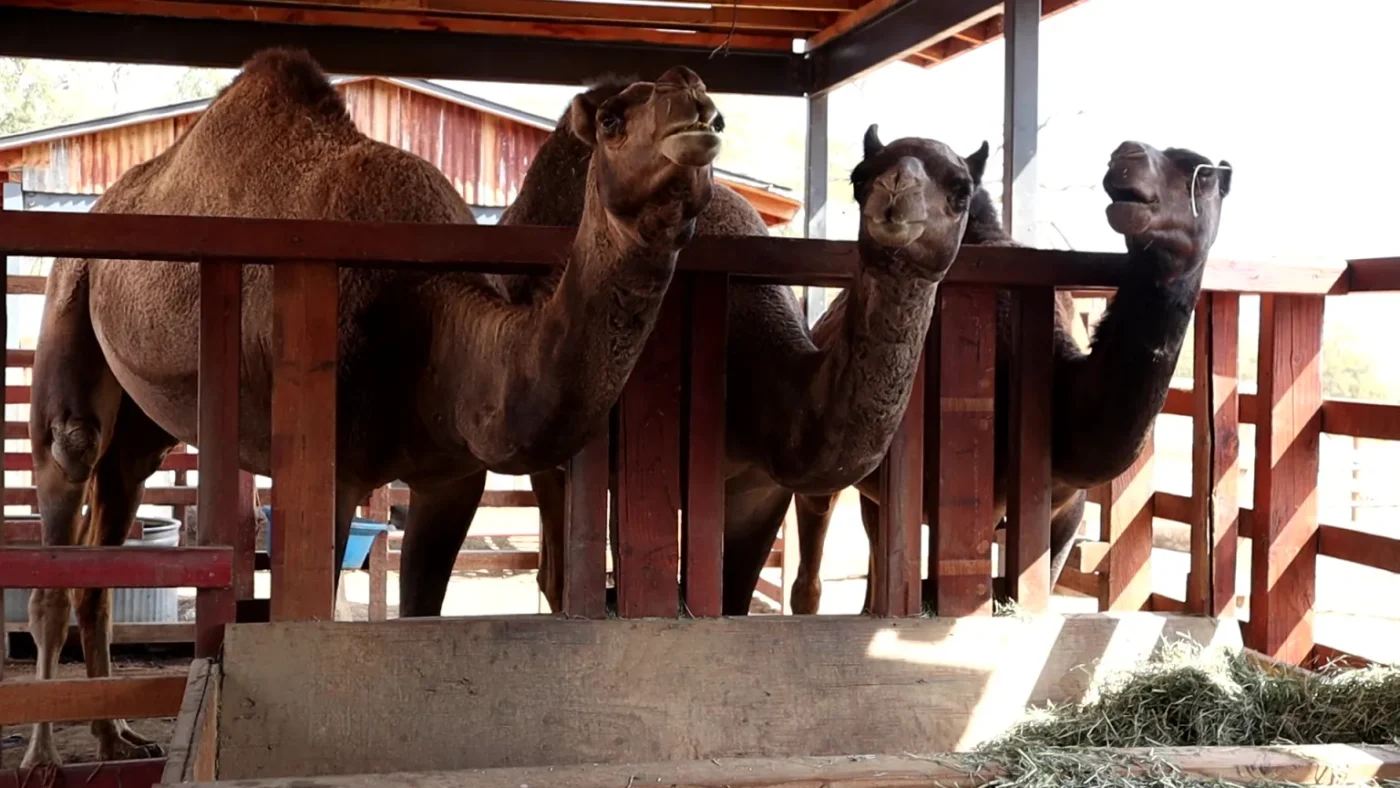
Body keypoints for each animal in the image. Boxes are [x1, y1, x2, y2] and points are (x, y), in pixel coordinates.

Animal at [21, 50, 721, 767]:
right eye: (612, 120)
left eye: (714, 110)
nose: (695, 109)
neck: (430, 321)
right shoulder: (326, 470)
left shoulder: (452, 477)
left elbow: (420, 616)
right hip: (68, 295)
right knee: (64, 480)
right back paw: (42, 755)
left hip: (139, 426)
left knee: (110, 522)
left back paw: (115, 737)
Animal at [392, 79, 978, 619]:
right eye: (860, 177)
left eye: (961, 189)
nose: (894, 195)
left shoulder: (761, 487)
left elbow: (732, 596)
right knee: (553, 566)